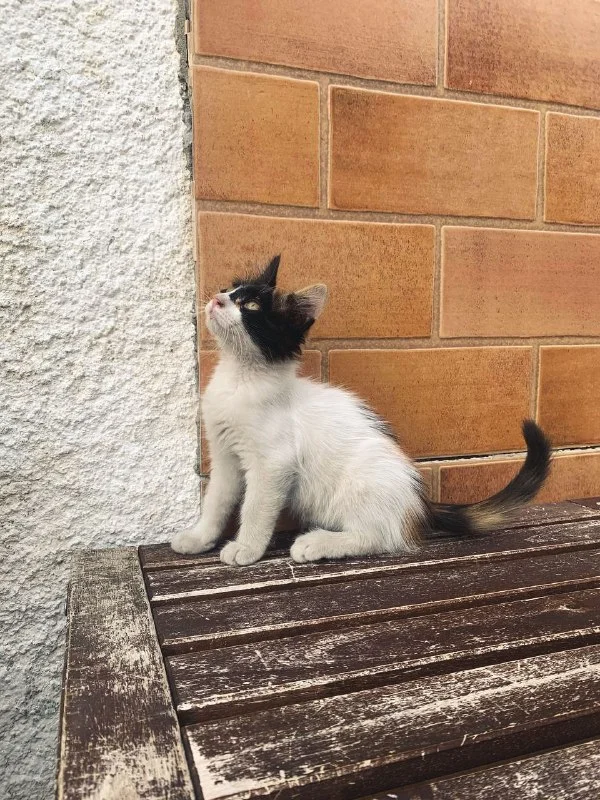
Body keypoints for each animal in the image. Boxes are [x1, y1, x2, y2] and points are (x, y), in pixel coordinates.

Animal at [172, 255, 551, 566]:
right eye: (228, 288)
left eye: (249, 305)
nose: (216, 299)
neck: (241, 378)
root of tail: (418, 504)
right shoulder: (224, 455)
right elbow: (216, 500)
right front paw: (199, 537)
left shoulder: (274, 464)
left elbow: (255, 506)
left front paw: (246, 548)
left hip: (361, 483)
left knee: (379, 536)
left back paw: (318, 542)